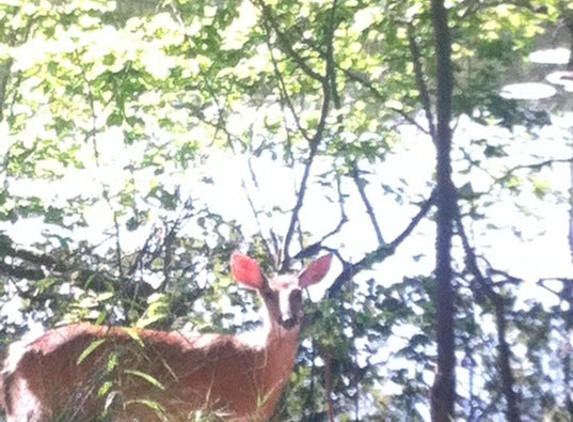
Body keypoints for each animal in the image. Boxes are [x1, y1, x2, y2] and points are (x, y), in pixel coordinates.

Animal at [0, 252, 332, 420]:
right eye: (267, 293)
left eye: (298, 293)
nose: (288, 320)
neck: (256, 366)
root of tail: (19, 354)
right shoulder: (215, 410)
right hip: (60, 402)